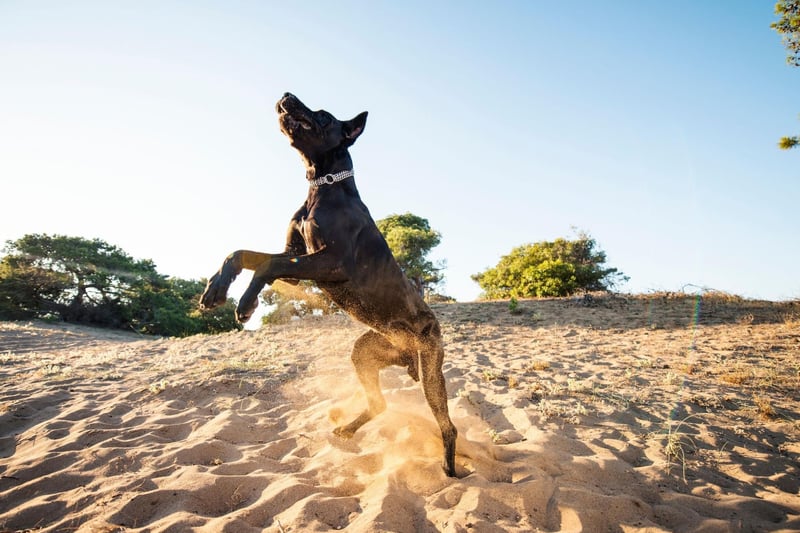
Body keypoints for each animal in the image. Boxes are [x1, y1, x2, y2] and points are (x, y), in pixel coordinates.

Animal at [202, 92, 456, 478]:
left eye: (322, 116)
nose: (287, 95)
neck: (325, 186)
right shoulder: (297, 258)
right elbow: (244, 254)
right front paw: (215, 289)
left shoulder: (330, 262)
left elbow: (267, 265)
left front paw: (245, 304)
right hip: (365, 354)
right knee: (379, 404)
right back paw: (347, 430)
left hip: (430, 372)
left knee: (448, 426)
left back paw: (449, 468)